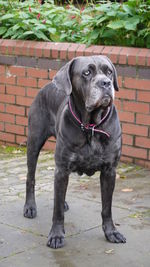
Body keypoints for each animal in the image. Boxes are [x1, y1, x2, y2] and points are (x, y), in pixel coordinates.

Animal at [23, 56, 126, 249]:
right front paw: (56, 235)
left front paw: (111, 232)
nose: (106, 83)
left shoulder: (109, 171)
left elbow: (107, 207)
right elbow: (56, 212)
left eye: (109, 71)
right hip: (33, 143)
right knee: (30, 178)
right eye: (87, 72)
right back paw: (30, 207)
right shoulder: (62, 168)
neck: (91, 126)